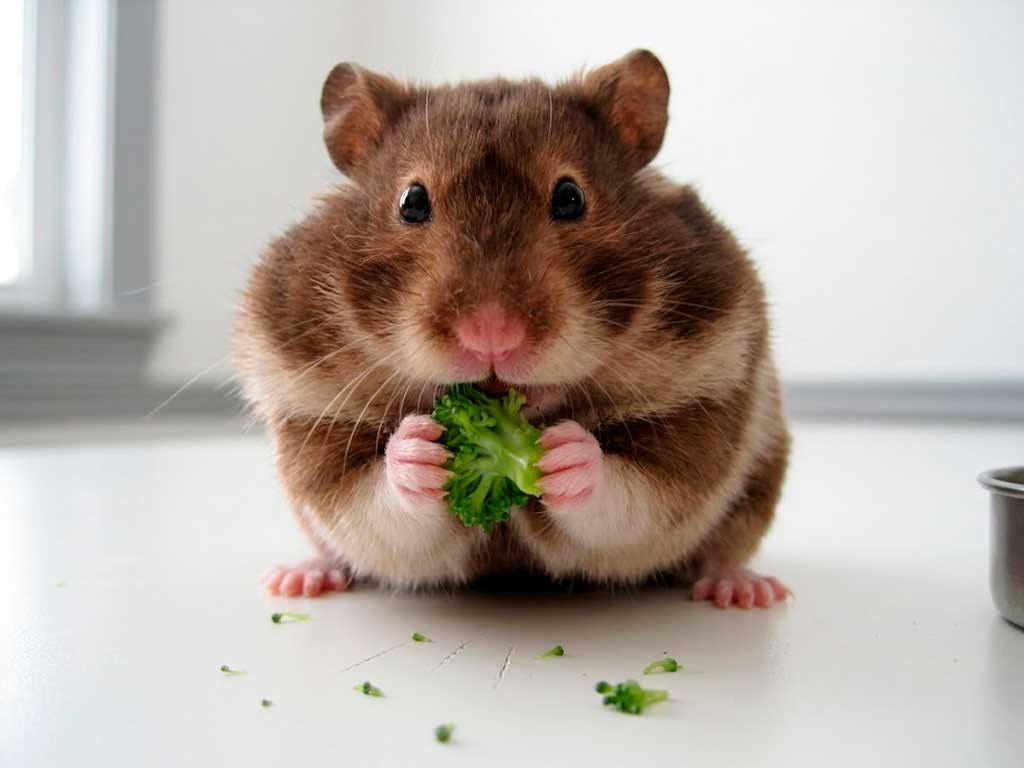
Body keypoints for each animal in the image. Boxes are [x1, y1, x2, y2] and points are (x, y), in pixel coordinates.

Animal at [236, 49, 791, 609]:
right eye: (412, 201)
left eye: (570, 197)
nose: (491, 334)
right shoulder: (311, 418)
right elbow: (370, 501)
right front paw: (420, 448)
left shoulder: (704, 397)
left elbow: (631, 495)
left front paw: (562, 454)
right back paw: (296, 580)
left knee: (722, 548)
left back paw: (745, 590)